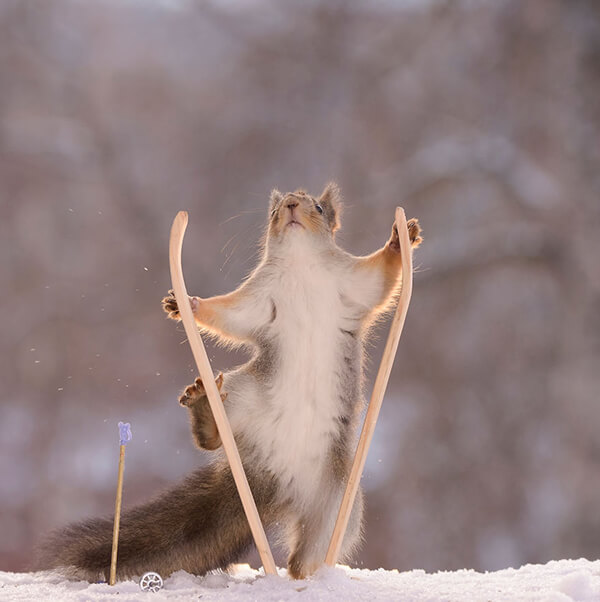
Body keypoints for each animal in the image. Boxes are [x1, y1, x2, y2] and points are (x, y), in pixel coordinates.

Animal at [37, 182, 422, 576]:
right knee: (211, 440)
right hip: (243, 395)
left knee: (310, 551)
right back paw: (205, 409)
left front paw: (401, 238)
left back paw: (307, 575)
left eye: (317, 207)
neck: (301, 265)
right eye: (275, 210)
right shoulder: (258, 300)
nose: (291, 205)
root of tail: (273, 477)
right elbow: (231, 314)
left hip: (335, 508)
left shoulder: (352, 284)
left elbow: (380, 279)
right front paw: (188, 304)